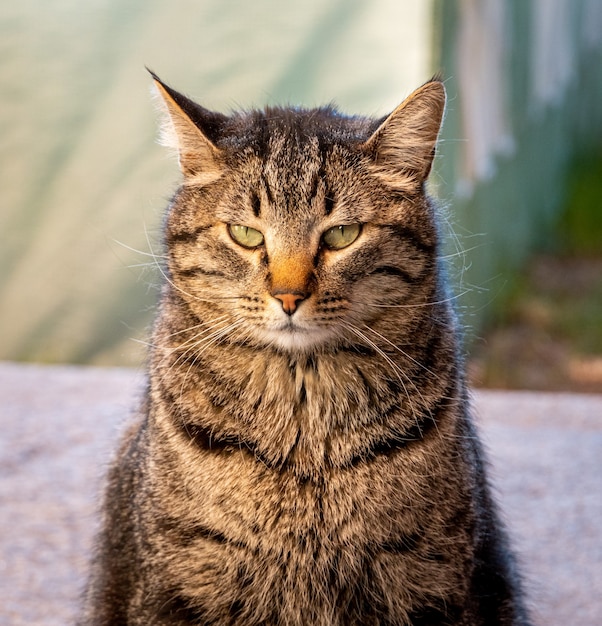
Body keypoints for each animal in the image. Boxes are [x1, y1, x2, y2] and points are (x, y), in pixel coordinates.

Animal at [79, 70, 528, 620]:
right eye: (246, 234)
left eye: (342, 235)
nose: (288, 296)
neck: (303, 425)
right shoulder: (177, 585)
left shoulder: (436, 579)